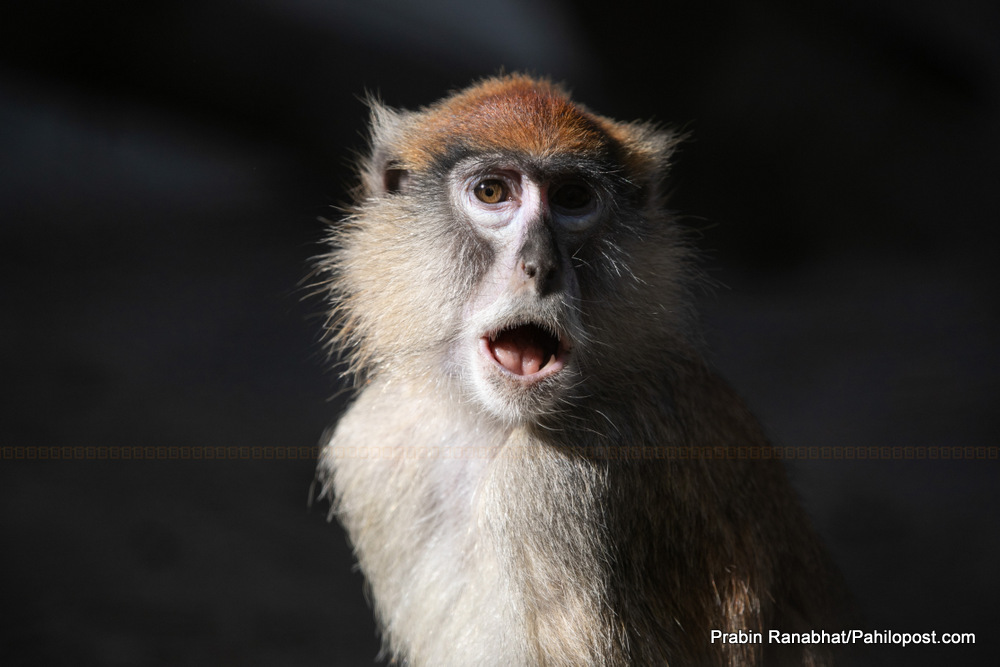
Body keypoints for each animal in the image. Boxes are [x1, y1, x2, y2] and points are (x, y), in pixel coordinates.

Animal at [316, 74, 848, 667]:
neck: (489, 426)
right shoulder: (379, 441)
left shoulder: (558, 483)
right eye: (492, 193)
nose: (542, 267)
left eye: (573, 198)